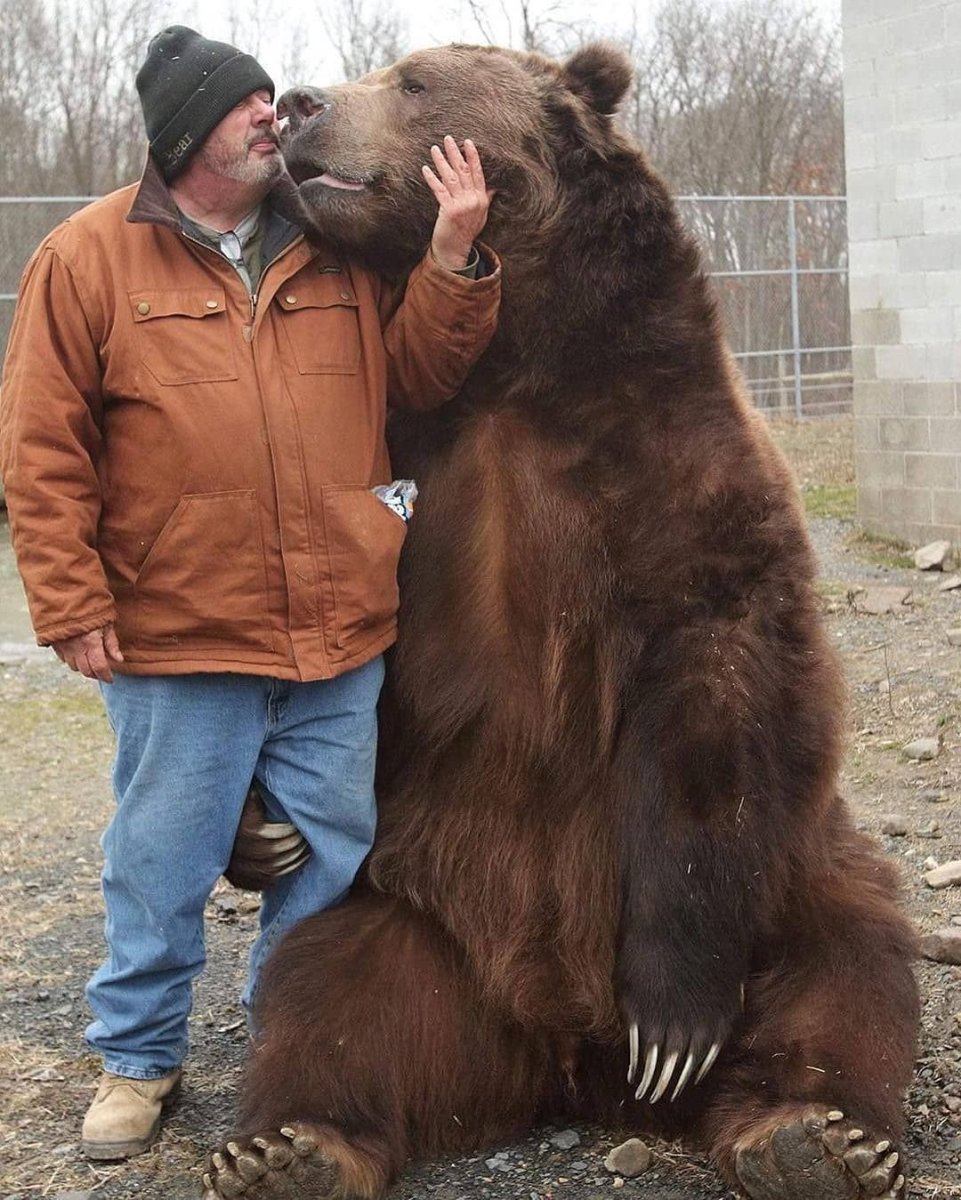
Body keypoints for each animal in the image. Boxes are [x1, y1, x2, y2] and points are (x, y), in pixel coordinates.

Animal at [203, 42, 919, 1200]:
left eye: (413, 79)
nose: (300, 104)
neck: (518, 363)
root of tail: (568, 1062)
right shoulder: (416, 467)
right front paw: (257, 827)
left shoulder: (680, 472)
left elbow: (721, 697)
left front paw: (674, 1025)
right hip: (412, 917)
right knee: (328, 996)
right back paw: (289, 1146)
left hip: (791, 886)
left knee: (846, 970)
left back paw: (813, 1136)